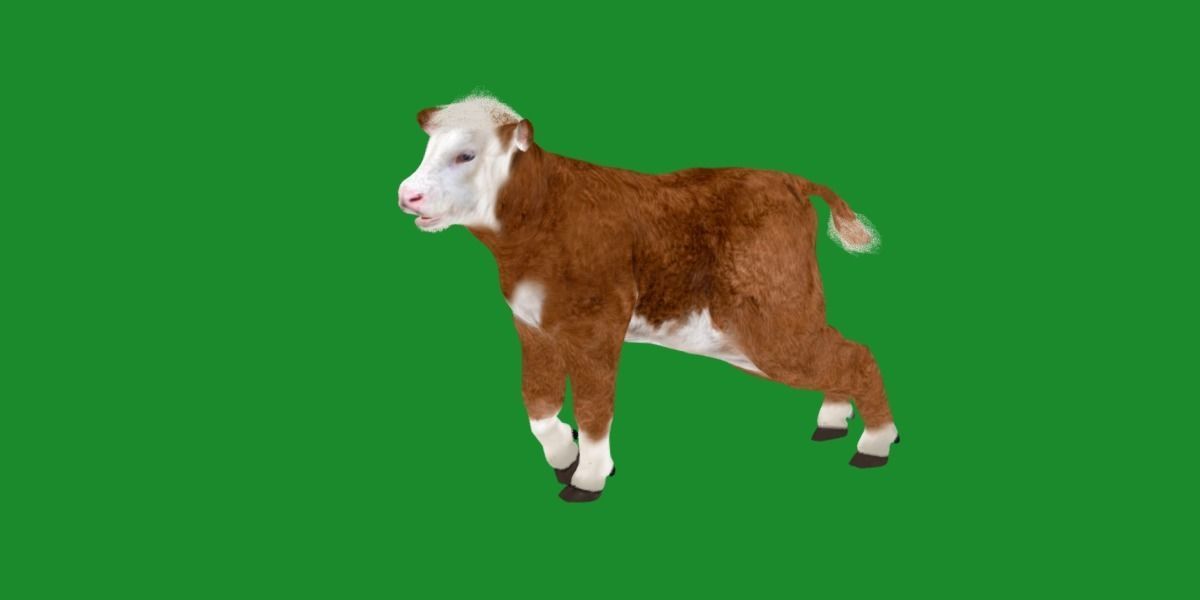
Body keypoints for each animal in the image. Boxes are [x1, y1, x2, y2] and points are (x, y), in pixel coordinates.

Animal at [398, 95, 897, 502]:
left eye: (465, 154)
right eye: (427, 149)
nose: (408, 195)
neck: (541, 213)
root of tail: (789, 180)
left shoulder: (596, 326)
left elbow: (594, 407)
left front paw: (588, 477)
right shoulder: (533, 327)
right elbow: (537, 402)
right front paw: (563, 453)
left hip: (770, 322)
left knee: (856, 356)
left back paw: (875, 443)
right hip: (774, 319)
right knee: (840, 351)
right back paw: (834, 419)